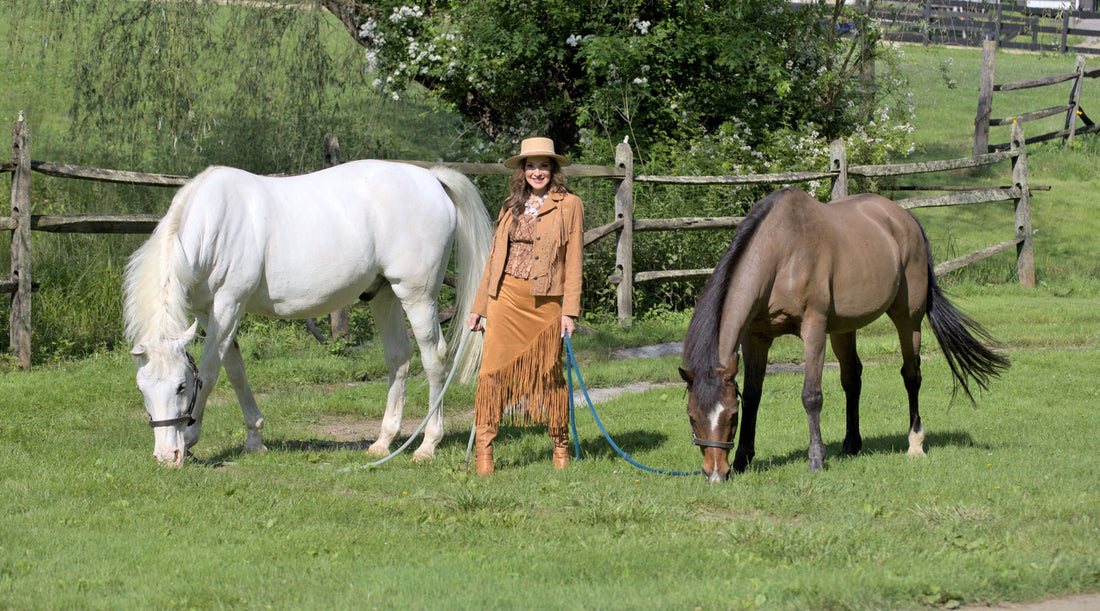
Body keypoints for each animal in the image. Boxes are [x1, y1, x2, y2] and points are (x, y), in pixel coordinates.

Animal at [121, 160, 495, 466]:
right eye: (141, 389)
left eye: (181, 386)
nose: (165, 455)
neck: (216, 222)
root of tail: (431, 179)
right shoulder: (208, 310)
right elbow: (236, 370)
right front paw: (254, 440)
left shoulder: (229, 303)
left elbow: (212, 373)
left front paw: (190, 438)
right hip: (384, 294)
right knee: (399, 357)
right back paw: (383, 442)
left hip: (417, 295)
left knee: (434, 359)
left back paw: (427, 445)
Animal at [682, 186, 1007, 482]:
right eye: (692, 417)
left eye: (731, 417)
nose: (715, 473)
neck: (783, 253)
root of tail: (904, 218)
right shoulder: (756, 336)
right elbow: (753, 395)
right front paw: (743, 459)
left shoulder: (813, 329)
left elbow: (811, 396)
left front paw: (816, 460)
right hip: (844, 328)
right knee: (852, 378)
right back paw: (851, 444)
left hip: (908, 319)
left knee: (911, 375)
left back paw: (915, 443)